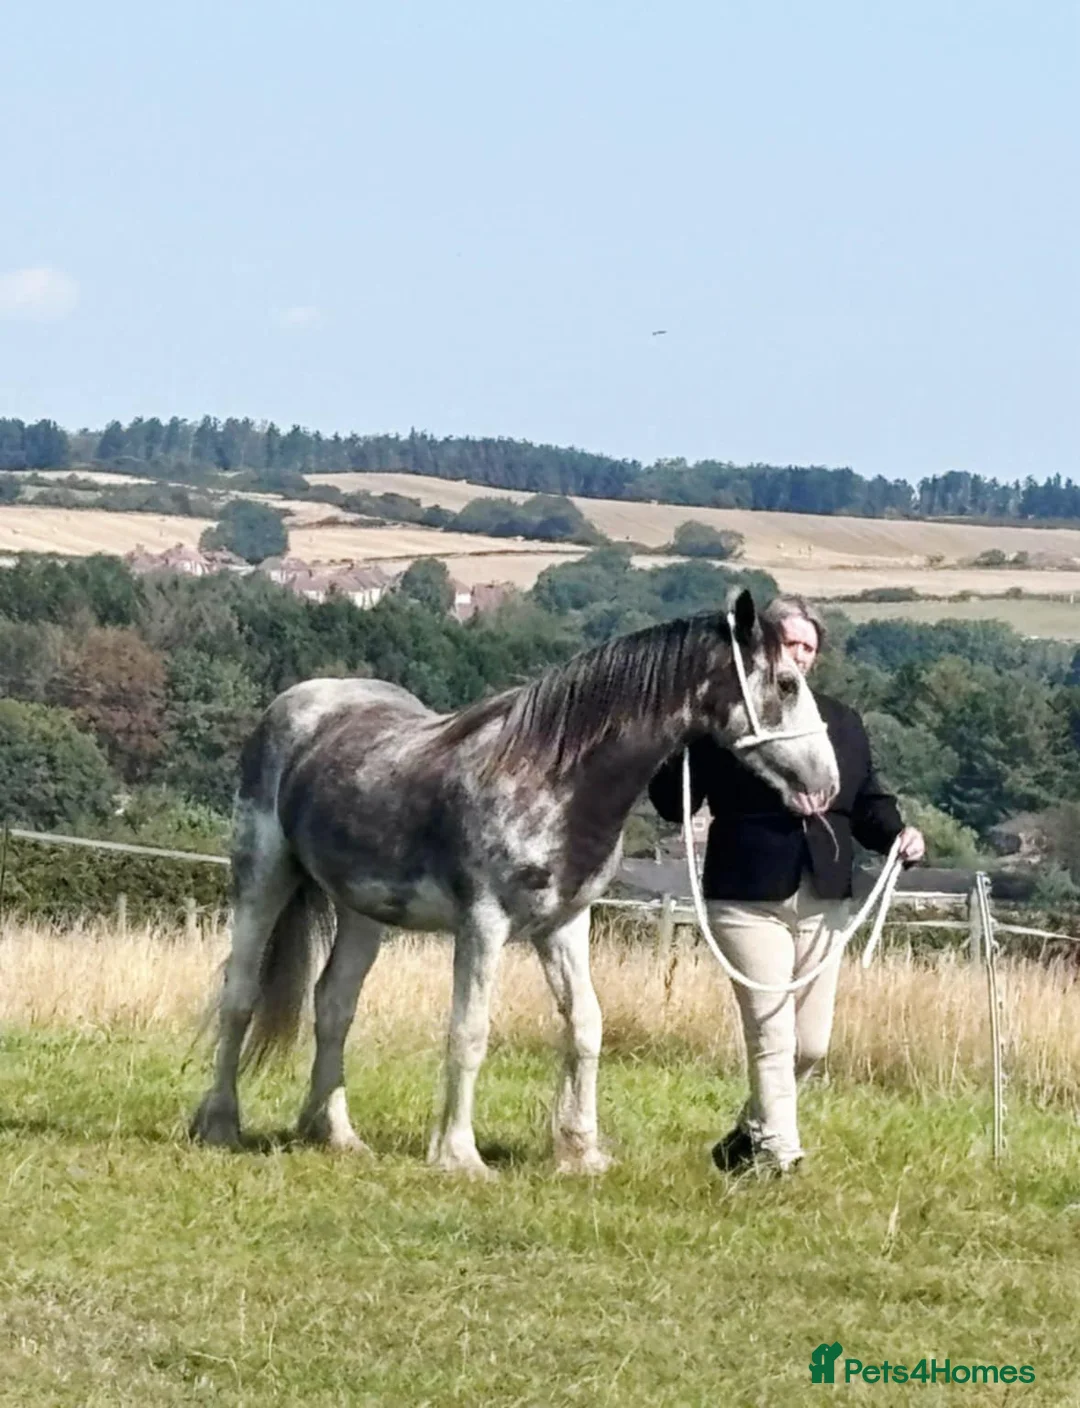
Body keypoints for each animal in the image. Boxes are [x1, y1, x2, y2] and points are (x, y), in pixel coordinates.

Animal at [190, 588, 839, 1175]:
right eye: (786, 684)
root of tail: (301, 702)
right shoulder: (484, 924)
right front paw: (458, 1156)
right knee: (240, 996)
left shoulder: (564, 925)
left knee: (333, 1005)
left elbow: (585, 1027)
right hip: (263, 877)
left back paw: (334, 1134)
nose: (827, 783)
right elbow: (470, 1032)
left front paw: (580, 1152)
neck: (554, 778)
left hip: (363, 910)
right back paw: (219, 1123)